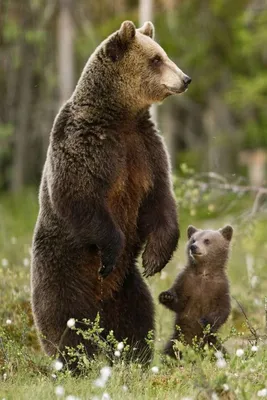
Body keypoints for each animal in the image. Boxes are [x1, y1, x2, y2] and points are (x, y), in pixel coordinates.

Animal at [30, 20, 192, 368]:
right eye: (156, 59)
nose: (185, 79)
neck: (120, 117)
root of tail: (100, 304)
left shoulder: (145, 150)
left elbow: (160, 199)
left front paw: (154, 258)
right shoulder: (86, 147)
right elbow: (78, 197)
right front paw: (112, 248)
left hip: (127, 286)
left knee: (137, 317)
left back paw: (134, 357)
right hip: (60, 271)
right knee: (65, 321)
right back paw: (79, 362)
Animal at [160, 223, 233, 358]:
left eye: (207, 240)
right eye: (193, 239)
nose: (193, 247)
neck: (204, 272)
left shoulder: (221, 287)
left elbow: (222, 309)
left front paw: (206, 321)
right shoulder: (186, 282)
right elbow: (180, 303)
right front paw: (166, 296)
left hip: (212, 343)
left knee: (221, 351)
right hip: (177, 340)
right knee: (169, 352)